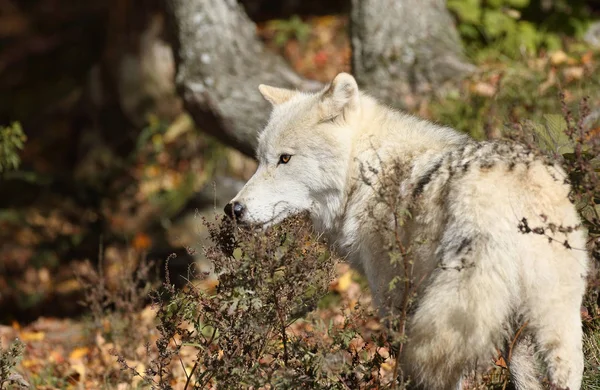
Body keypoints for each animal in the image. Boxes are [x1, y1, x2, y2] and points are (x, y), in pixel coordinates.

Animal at [226, 73, 592, 390]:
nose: (234, 209)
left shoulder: (392, 302)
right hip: (546, 317)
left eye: (285, 159)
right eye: (260, 159)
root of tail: (508, 194)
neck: (366, 172)